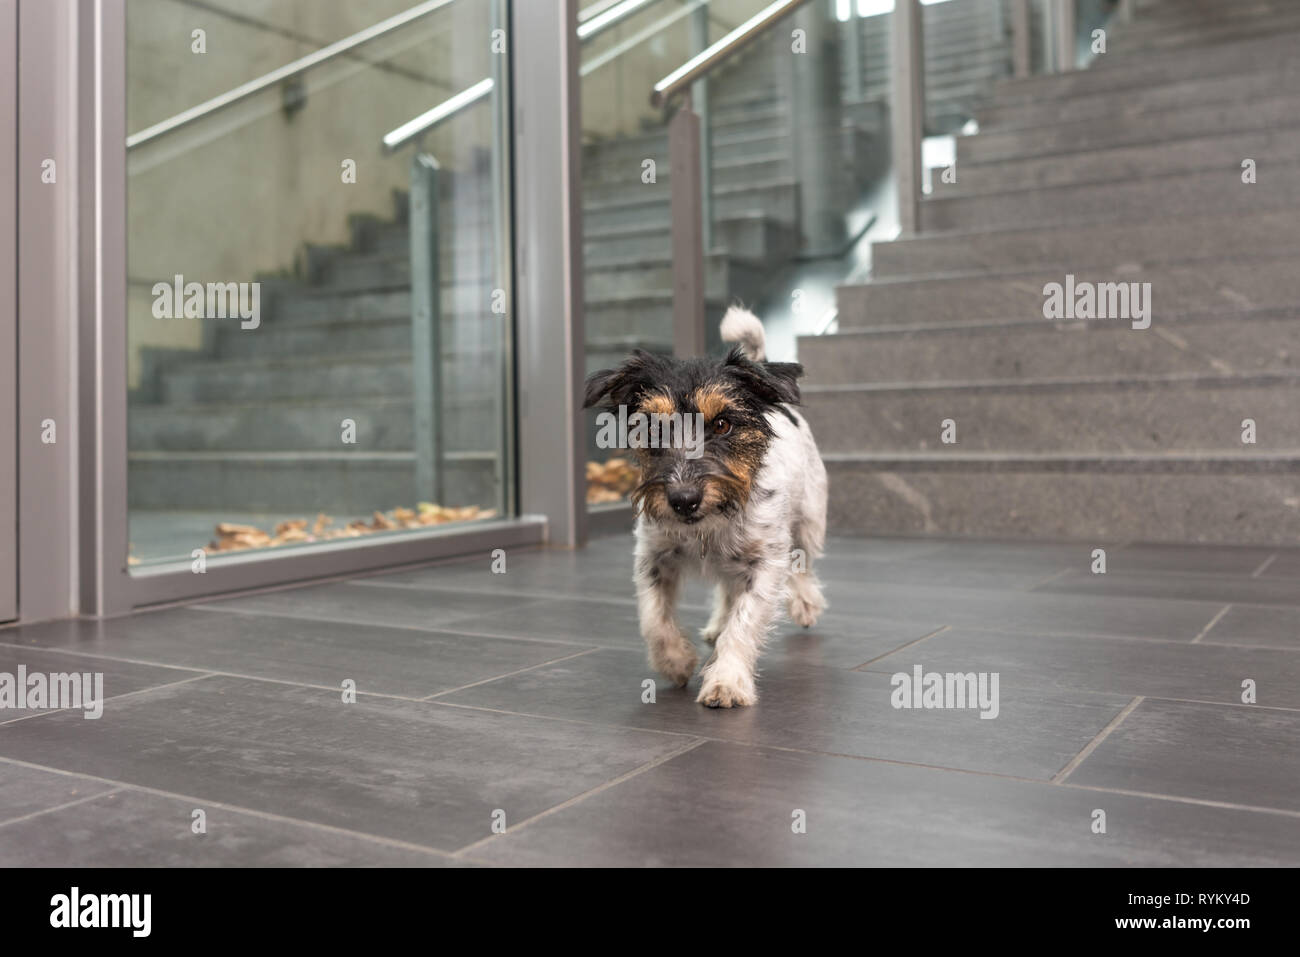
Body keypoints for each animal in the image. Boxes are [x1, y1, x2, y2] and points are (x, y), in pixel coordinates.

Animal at [585, 310, 826, 707]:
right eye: (654, 429)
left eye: (723, 424)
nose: (683, 499)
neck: (709, 523)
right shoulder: (652, 556)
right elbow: (653, 616)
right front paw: (676, 661)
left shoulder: (765, 564)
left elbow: (744, 622)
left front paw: (727, 680)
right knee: (727, 591)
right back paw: (716, 625)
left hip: (810, 517)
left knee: (803, 562)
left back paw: (805, 603)